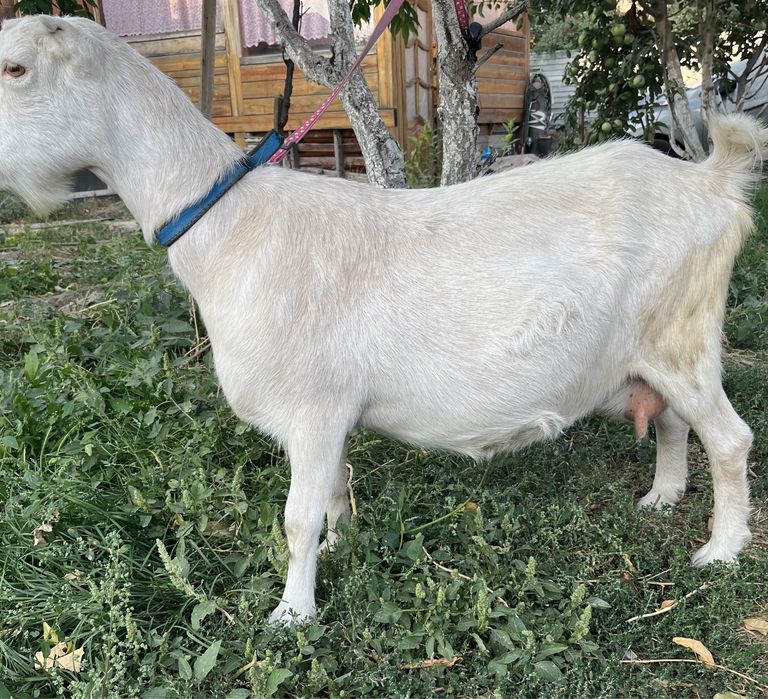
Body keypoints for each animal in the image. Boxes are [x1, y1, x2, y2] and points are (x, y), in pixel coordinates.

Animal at [0, 15, 764, 624]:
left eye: (15, 67)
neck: (230, 223)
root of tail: (711, 181)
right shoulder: (332, 411)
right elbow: (334, 491)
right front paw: (342, 545)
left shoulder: (311, 406)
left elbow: (296, 515)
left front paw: (292, 614)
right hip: (652, 347)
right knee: (672, 421)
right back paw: (661, 497)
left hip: (683, 335)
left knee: (728, 438)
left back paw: (720, 549)